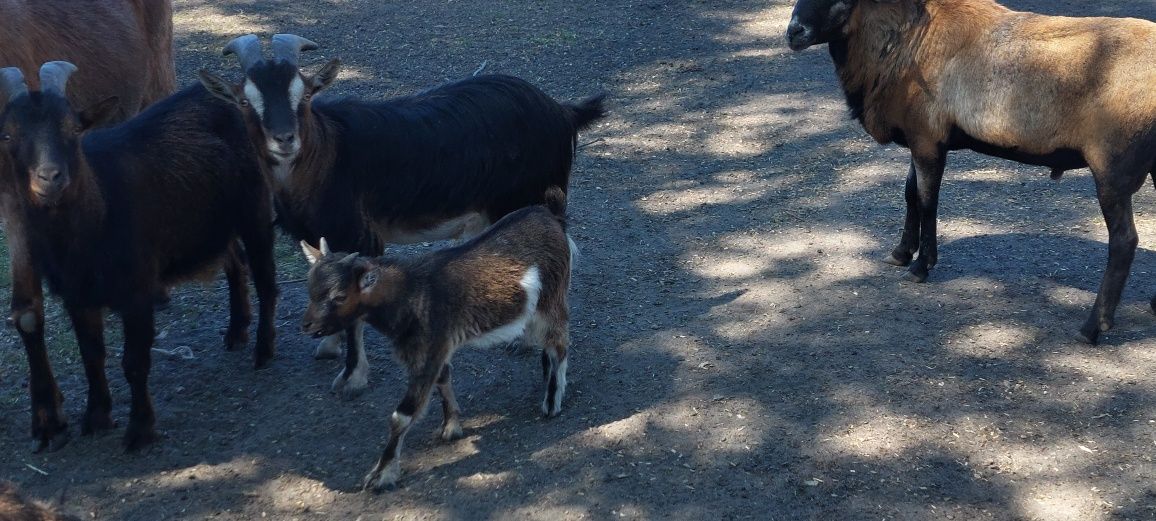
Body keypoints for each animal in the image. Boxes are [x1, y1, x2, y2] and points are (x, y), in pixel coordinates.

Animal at [0, 62, 277, 452]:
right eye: (8, 136)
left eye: (74, 129)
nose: (50, 177)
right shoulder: (77, 295)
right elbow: (91, 355)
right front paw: (96, 418)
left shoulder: (138, 289)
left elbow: (134, 361)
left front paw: (139, 430)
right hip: (214, 221)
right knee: (236, 262)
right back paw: (236, 330)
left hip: (254, 207)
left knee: (266, 277)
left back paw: (263, 349)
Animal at [198, 33, 605, 399]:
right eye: (244, 101)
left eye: (306, 94)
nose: (285, 139)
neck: (327, 155)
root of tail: (562, 111)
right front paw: (328, 345)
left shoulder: (359, 237)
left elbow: (355, 313)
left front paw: (352, 377)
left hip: (534, 200)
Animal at [300, 187, 575, 494]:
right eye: (310, 289)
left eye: (339, 296)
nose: (307, 326)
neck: (411, 293)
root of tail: (549, 214)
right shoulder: (438, 346)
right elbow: (444, 378)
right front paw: (452, 427)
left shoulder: (428, 351)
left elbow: (402, 416)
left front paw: (381, 474)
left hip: (551, 299)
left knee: (558, 344)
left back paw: (552, 401)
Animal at [790, 1, 1156, 346]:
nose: (794, 32)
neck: (906, 38)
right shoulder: (920, 137)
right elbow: (910, 194)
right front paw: (900, 253)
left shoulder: (927, 139)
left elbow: (927, 201)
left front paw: (920, 267)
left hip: (1112, 169)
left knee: (1124, 242)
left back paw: (1092, 327)